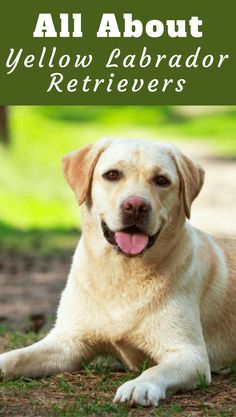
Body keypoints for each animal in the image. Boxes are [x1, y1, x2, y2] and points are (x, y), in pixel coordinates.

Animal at [0, 138, 236, 404]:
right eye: (112, 174)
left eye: (162, 180)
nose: (136, 206)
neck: (122, 272)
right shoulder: (68, 343)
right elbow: (17, 356)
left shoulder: (189, 353)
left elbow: (156, 369)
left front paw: (139, 385)